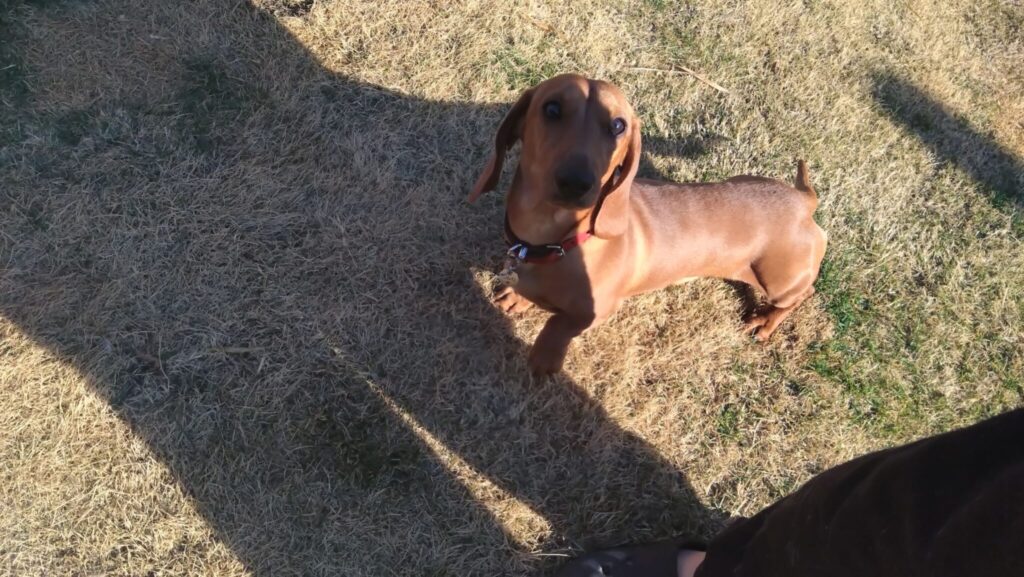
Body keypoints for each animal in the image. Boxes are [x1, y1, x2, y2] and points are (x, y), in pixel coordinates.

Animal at [469, 74, 827, 375]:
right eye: (552, 108)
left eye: (618, 125)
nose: (576, 182)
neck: (556, 243)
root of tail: (803, 201)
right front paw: (519, 298)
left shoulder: (600, 311)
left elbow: (560, 324)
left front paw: (545, 356)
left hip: (779, 280)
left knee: (802, 294)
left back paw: (765, 321)